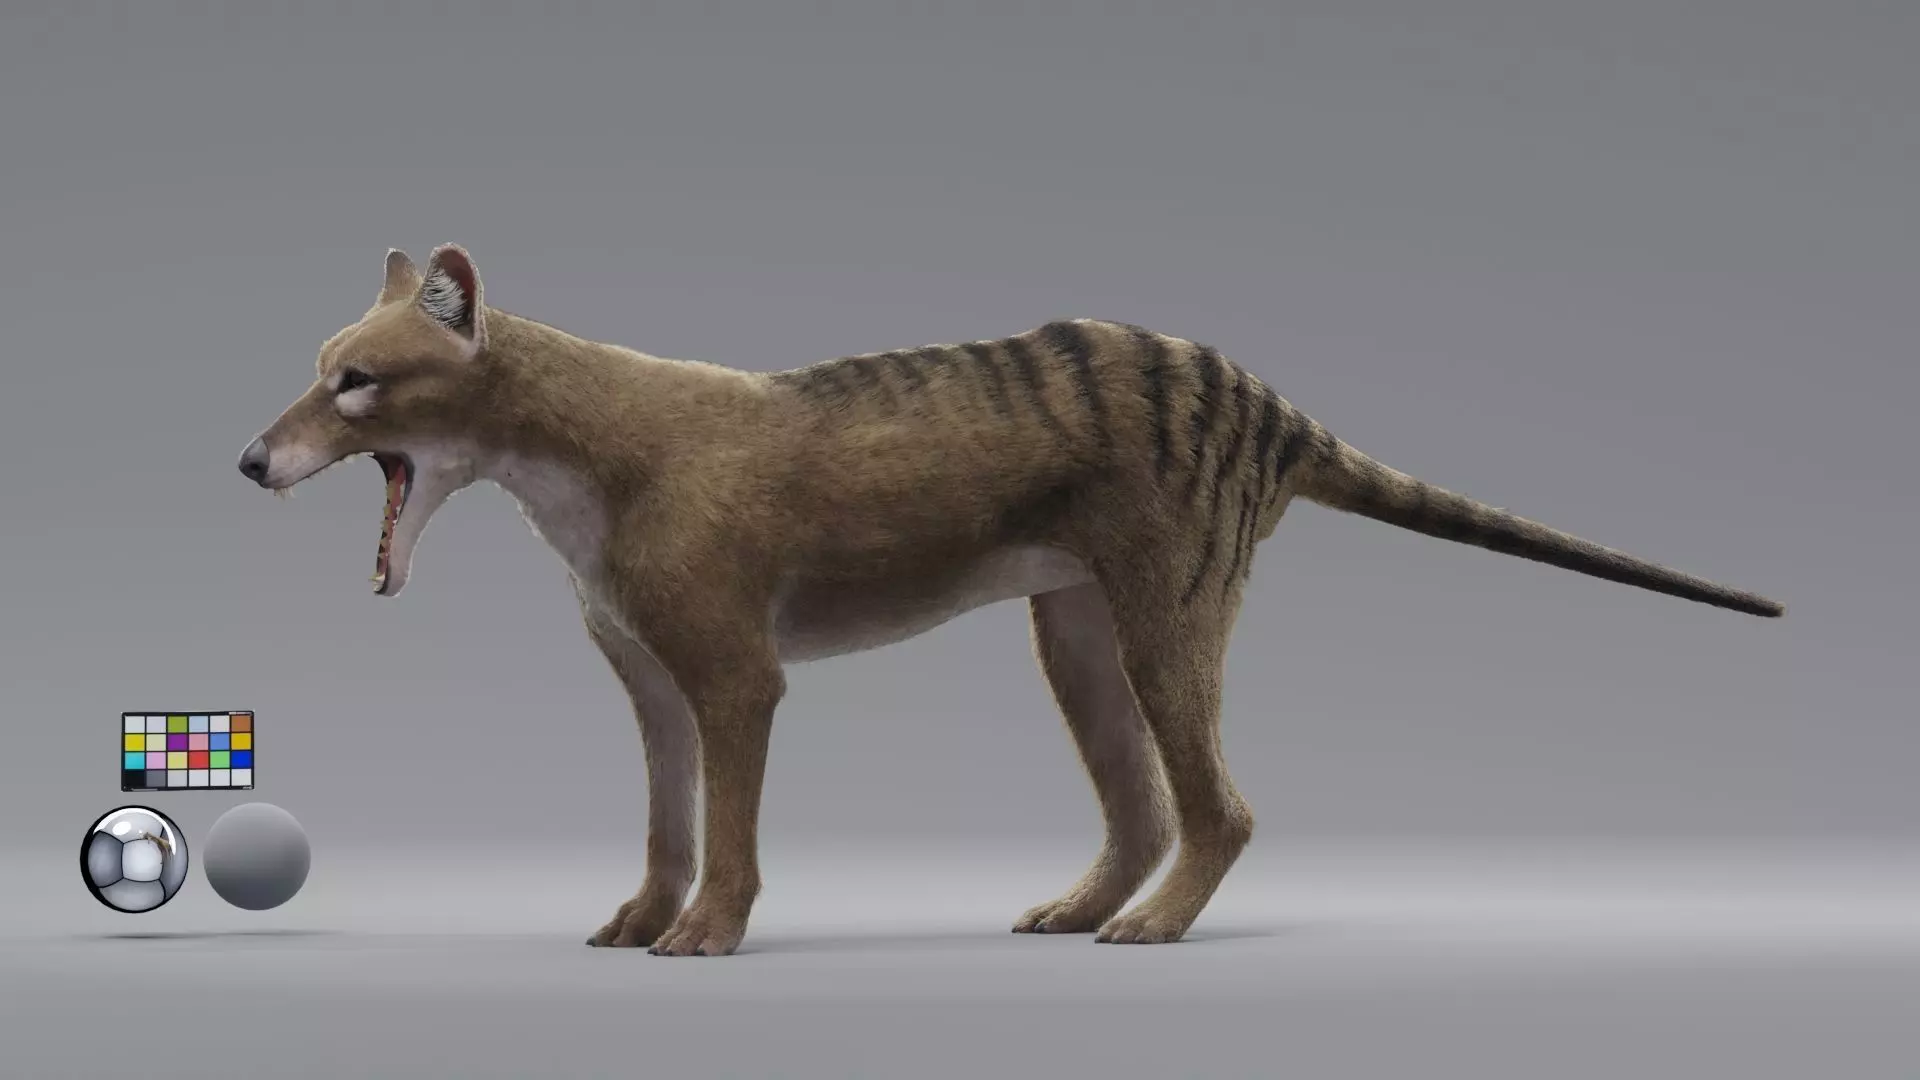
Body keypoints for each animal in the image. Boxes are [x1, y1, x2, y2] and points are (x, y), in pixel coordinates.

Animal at [237, 244, 1784, 955]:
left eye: (358, 381)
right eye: (319, 368)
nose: (251, 460)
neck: (570, 459)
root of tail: (1273, 403)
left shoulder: (737, 674)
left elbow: (727, 828)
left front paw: (709, 935)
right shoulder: (648, 676)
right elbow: (668, 818)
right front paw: (642, 917)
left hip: (1167, 611)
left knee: (1219, 807)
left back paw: (1153, 926)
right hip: (1077, 626)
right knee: (1146, 806)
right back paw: (1088, 905)